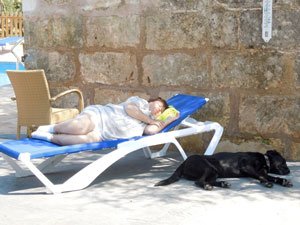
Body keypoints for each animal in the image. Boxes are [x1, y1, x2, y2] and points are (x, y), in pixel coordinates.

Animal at [156, 149, 292, 190]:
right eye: (284, 161)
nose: (289, 171)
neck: (265, 161)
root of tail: (184, 163)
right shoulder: (246, 166)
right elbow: (262, 177)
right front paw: (267, 183)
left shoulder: (261, 171)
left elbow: (272, 177)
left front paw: (282, 181)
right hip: (208, 167)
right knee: (199, 181)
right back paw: (207, 186)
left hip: (215, 171)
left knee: (210, 181)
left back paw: (222, 183)